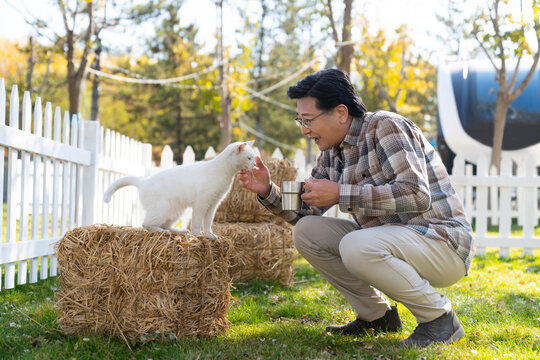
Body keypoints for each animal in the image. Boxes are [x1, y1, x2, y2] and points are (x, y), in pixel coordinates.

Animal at [105, 141, 258, 239]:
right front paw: (198, 235)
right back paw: (163, 231)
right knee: (146, 224)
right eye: (249, 158)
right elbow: (197, 222)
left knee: (166, 225)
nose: (255, 164)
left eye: (254, 158)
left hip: (175, 211)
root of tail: (144, 181)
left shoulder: (214, 204)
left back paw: (180, 231)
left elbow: (208, 222)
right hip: (163, 209)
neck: (225, 173)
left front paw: (210, 235)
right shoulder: (201, 203)